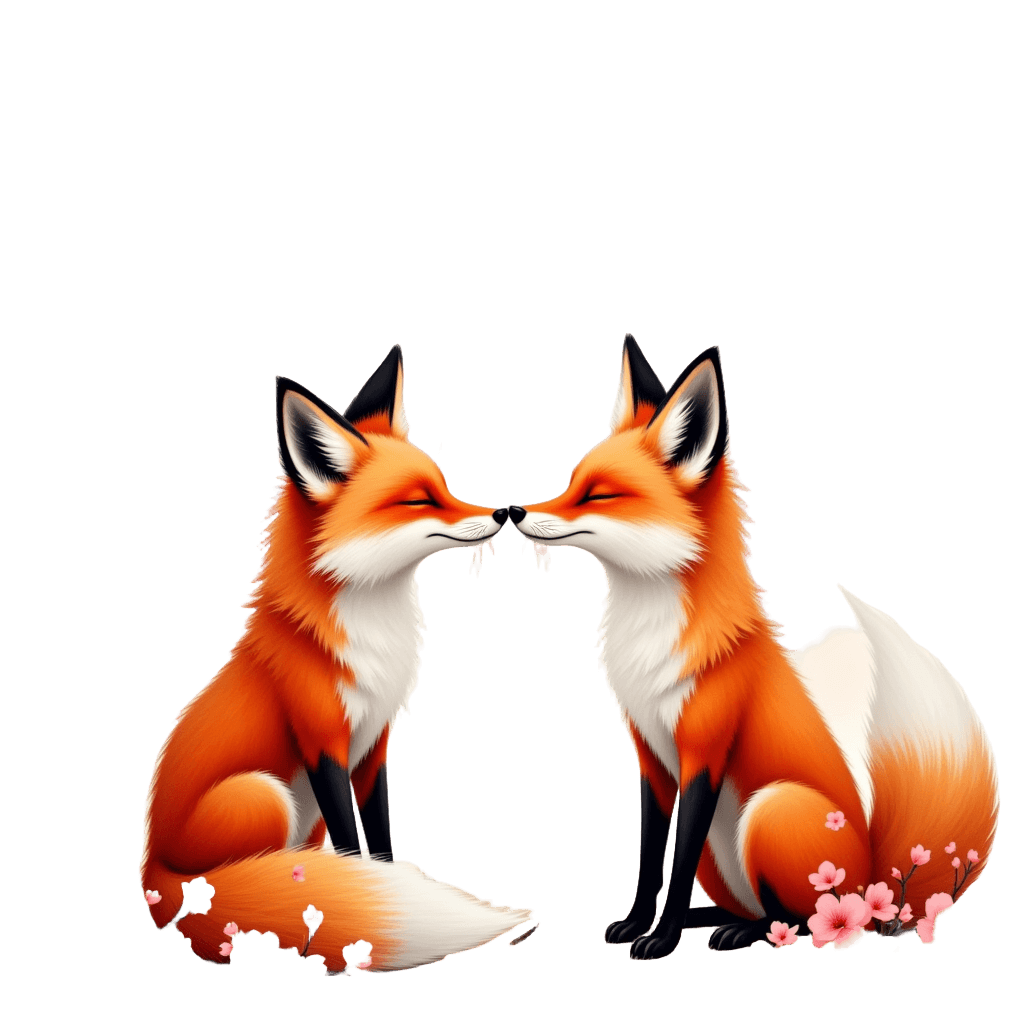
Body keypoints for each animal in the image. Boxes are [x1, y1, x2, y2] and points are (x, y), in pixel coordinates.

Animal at [140, 346, 532, 974]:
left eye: (445, 487)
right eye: (419, 499)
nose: (504, 512)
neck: (374, 634)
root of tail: (152, 870)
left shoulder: (372, 744)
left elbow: (381, 839)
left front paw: (385, 893)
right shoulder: (323, 740)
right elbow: (353, 847)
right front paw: (361, 906)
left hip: (302, 815)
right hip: (265, 796)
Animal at [508, 335, 998, 958]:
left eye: (599, 494)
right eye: (571, 483)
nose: (513, 511)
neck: (647, 643)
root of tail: (878, 884)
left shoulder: (704, 752)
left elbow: (675, 862)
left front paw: (660, 939)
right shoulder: (652, 758)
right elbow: (650, 861)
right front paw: (636, 923)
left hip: (771, 811)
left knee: (806, 919)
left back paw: (748, 931)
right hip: (725, 858)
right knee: (749, 903)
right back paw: (714, 917)